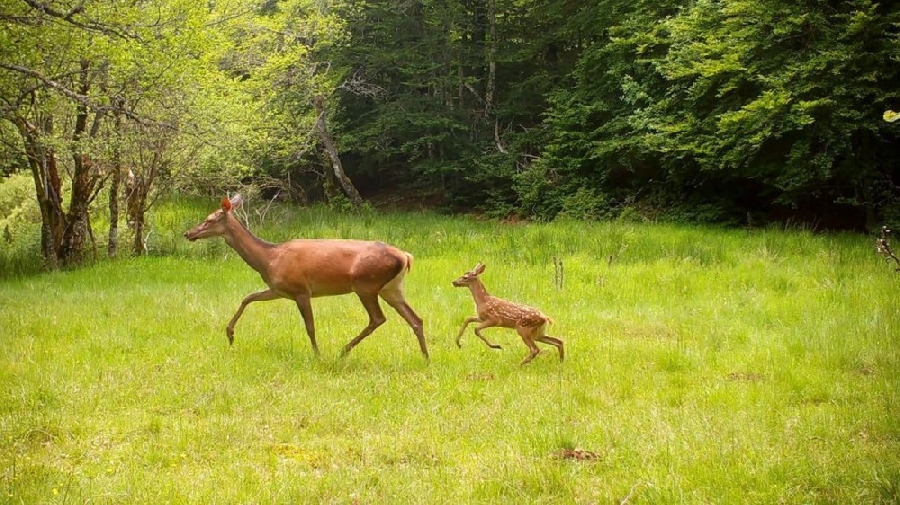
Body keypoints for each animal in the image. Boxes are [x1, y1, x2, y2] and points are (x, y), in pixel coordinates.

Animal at [183, 193, 428, 358]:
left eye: (210, 219)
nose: (188, 233)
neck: (269, 258)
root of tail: (405, 256)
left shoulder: (301, 290)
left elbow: (310, 326)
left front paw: (317, 354)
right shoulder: (278, 289)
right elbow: (248, 298)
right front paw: (230, 334)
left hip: (366, 284)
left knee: (378, 318)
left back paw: (343, 350)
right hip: (392, 288)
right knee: (416, 319)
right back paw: (426, 358)